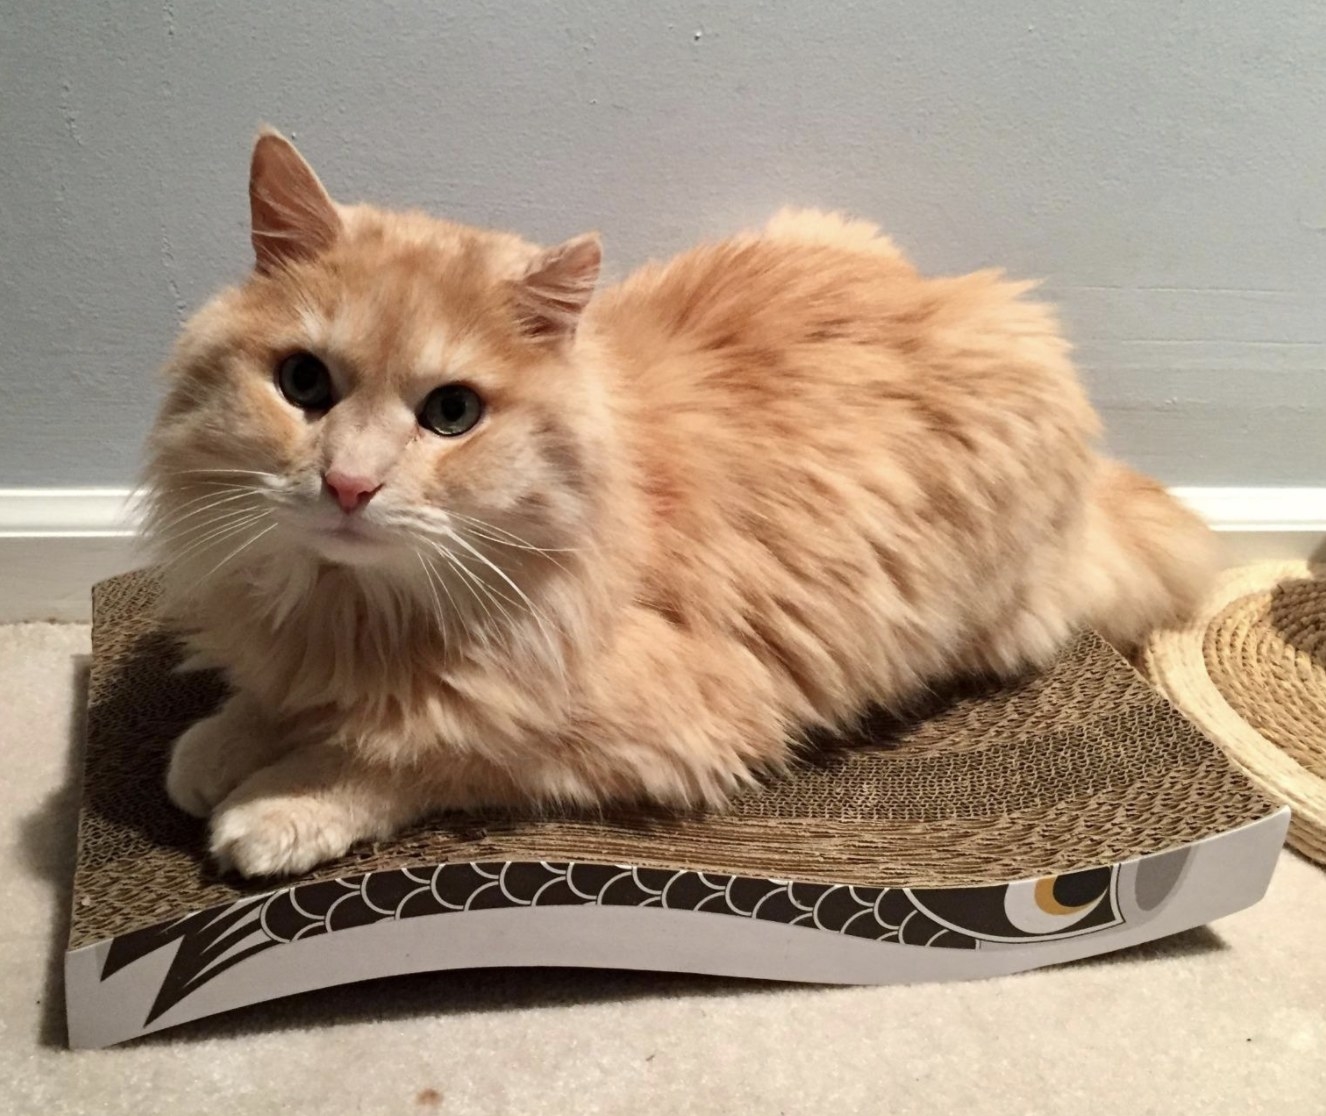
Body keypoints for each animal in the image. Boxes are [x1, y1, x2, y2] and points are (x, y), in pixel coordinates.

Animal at [142, 132, 1214, 880]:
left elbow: (422, 752)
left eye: (452, 414)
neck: (354, 615)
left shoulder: (657, 726)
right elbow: (275, 698)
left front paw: (283, 800)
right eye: (304, 384)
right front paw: (225, 740)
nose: (349, 485)